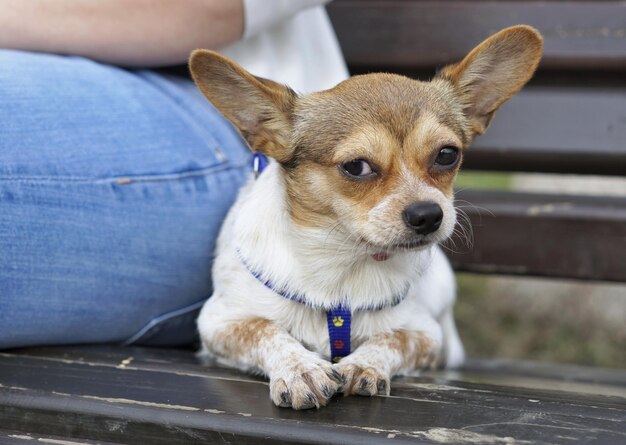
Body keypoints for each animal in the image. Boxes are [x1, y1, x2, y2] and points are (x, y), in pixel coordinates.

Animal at [189, 26, 540, 410]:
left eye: (447, 154)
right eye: (356, 166)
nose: (428, 215)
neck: (343, 266)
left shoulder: (425, 334)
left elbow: (391, 339)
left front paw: (363, 364)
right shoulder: (219, 323)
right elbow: (267, 330)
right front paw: (300, 368)